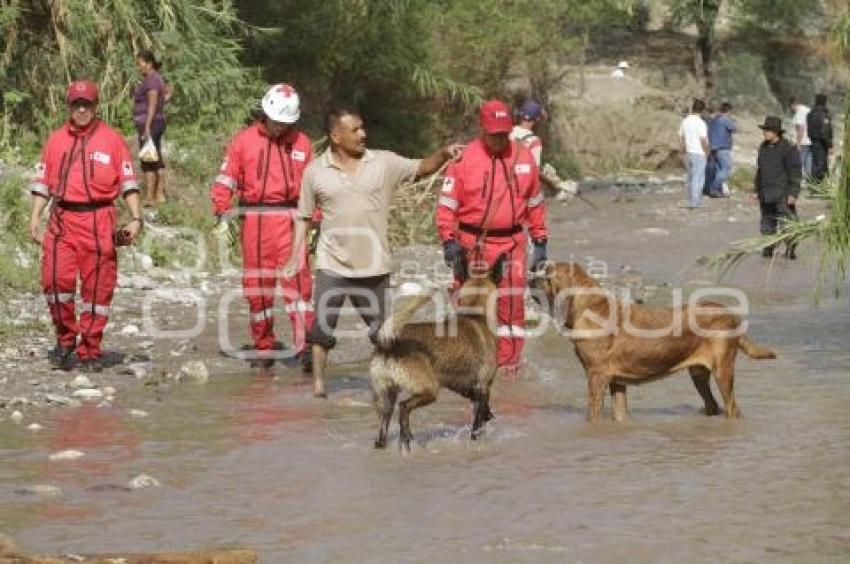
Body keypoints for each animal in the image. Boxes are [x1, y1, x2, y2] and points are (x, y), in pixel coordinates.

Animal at [368, 262, 500, 452]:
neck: (475, 314)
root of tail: (388, 344)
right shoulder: (483, 386)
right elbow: (477, 423)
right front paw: (477, 437)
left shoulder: (463, 386)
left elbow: (480, 408)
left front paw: (488, 416)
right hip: (430, 390)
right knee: (404, 407)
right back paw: (406, 439)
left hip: (386, 398)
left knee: (383, 431)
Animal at [528, 262, 776, 420]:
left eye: (546, 272)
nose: (529, 277)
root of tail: (731, 314)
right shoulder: (616, 381)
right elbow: (620, 414)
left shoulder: (596, 376)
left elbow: (593, 414)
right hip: (698, 373)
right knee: (712, 404)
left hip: (722, 370)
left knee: (732, 408)